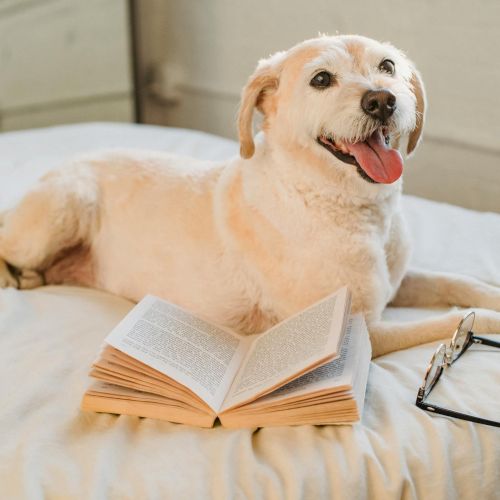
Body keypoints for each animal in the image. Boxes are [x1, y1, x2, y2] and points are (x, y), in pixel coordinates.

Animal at [0, 35, 500, 356]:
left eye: (388, 67)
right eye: (322, 80)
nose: (382, 100)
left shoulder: (398, 283)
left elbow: (459, 283)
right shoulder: (363, 332)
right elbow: (451, 320)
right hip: (63, 207)